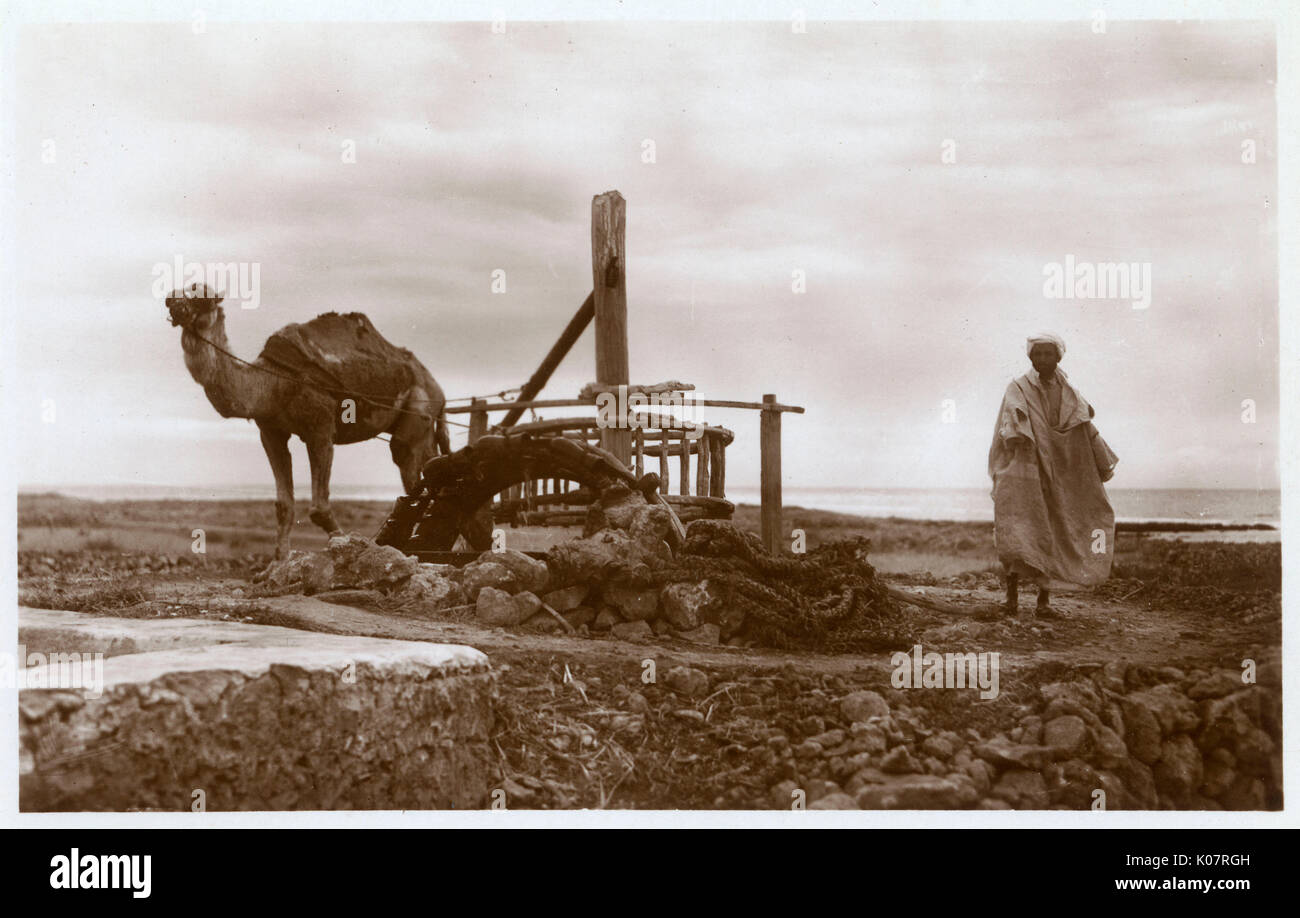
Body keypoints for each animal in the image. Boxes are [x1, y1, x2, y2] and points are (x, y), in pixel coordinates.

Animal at [167, 280, 452, 556]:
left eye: (203, 296)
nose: (172, 301)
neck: (273, 381)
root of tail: (438, 388)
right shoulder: (270, 432)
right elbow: (283, 505)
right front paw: (278, 561)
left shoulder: (320, 429)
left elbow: (319, 508)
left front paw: (344, 544)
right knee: (430, 464)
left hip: (420, 407)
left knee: (410, 458)